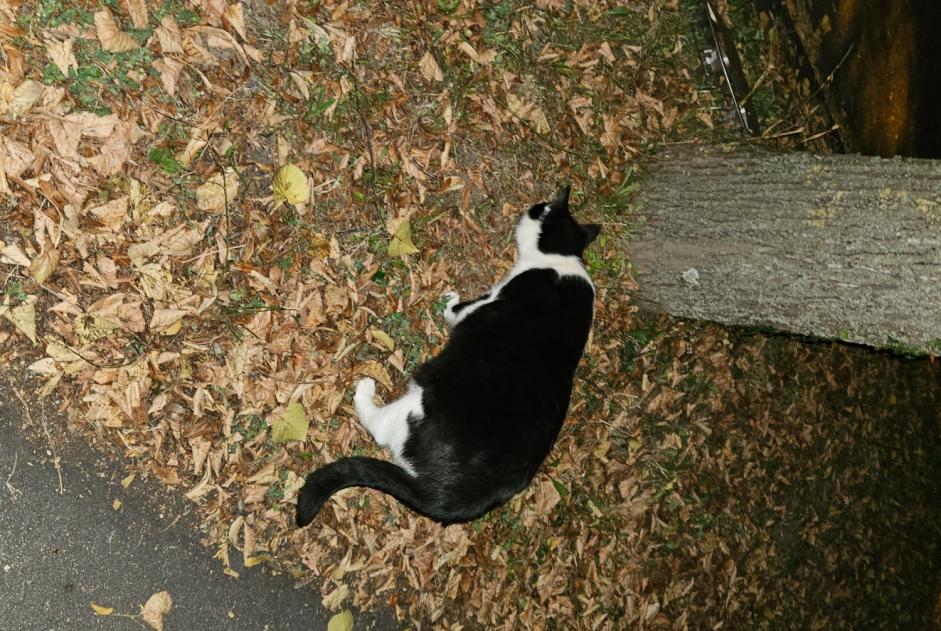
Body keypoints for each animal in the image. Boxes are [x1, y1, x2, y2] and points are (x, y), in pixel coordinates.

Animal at [298, 188, 600, 528]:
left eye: (541, 207)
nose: (531, 207)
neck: (563, 258)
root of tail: (451, 496)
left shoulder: (482, 304)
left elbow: (456, 308)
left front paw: (448, 299)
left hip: (418, 402)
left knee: (379, 426)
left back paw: (366, 389)